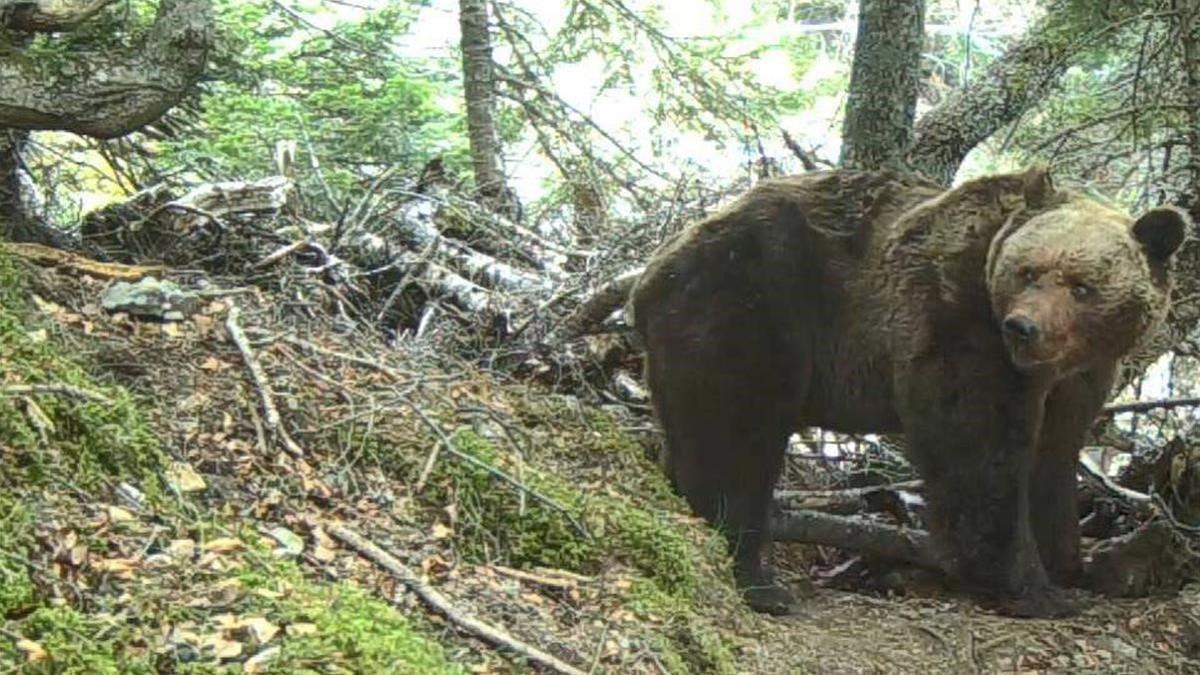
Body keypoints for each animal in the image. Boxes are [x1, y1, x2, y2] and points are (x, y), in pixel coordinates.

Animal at [633, 166, 1185, 614]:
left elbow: (1054, 456)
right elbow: (979, 449)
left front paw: (1071, 563)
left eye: (1081, 286)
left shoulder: (1080, 379)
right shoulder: (954, 319)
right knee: (738, 439)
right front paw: (1033, 588)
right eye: (1029, 271)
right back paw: (759, 580)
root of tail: (652, 271)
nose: (1023, 327)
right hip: (748, 306)